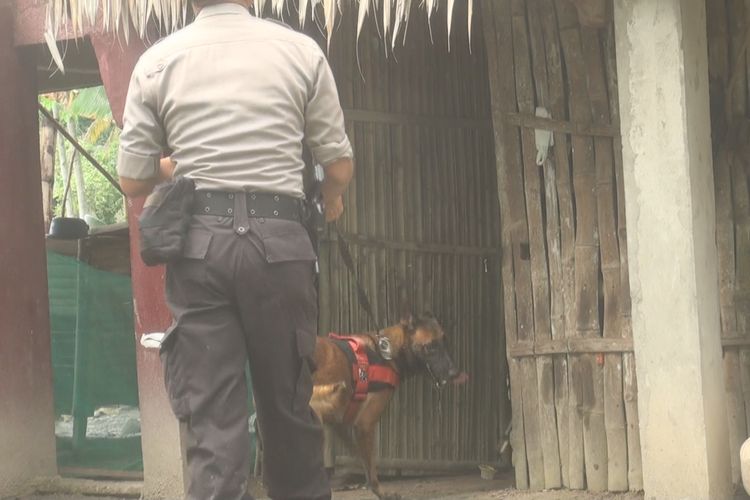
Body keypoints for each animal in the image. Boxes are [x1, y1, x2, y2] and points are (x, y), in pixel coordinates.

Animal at [310, 312, 464, 500]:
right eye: (430, 346)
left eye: (445, 342)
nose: (455, 373)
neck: (387, 353)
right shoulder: (364, 424)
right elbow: (370, 466)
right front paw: (381, 492)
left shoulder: (340, 421)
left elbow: (359, 456)